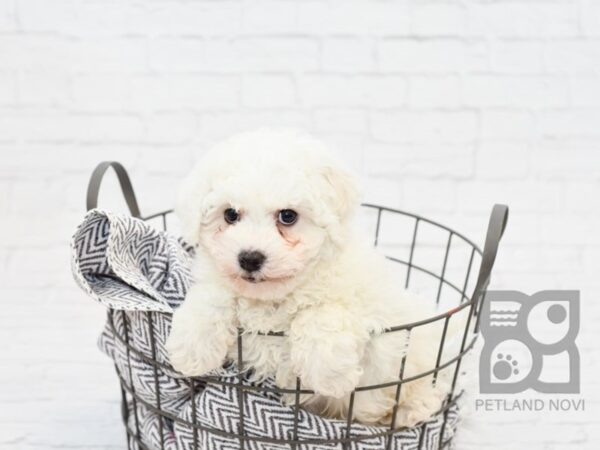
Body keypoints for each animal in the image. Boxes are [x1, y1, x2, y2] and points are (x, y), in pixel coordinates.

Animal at [166, 128, 452, 428]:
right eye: (230, 214)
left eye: (287, 216)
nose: (250, 258)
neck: (275, 298)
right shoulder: (218, 280)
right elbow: (210, 297)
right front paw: (190, 348)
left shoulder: (374, 316)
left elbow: (323, 313)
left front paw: (330, 374)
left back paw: (414, 409)